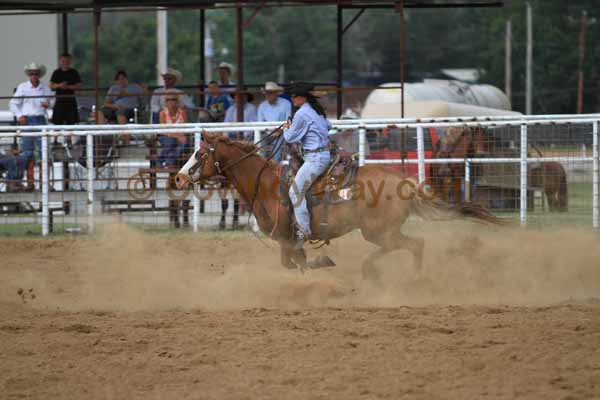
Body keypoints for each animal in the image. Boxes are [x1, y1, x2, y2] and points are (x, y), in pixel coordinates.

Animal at [175, 133, 506, 276]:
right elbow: (293, 263)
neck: (265, 184)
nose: (178, 178)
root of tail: (404, 182)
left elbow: (298, 263)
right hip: (379, 232)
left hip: (377, 231)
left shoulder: (287, 237)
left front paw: (323, 263)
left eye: (199, 155)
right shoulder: (287, 241)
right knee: (411, 245)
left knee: (415, 244)